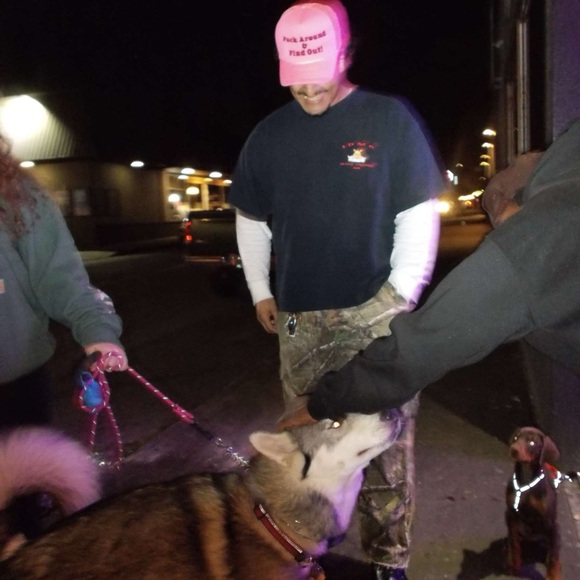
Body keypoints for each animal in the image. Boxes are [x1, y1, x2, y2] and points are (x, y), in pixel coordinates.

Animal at [505, 426, 562, 580]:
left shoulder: (551, 523)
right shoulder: (511, 514)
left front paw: (554, 576)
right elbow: (514, 544)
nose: (513, 450)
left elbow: (554, 558)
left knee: (552, 550)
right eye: (516, 438)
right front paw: (515, 564)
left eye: (532, 443)